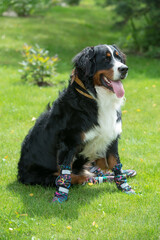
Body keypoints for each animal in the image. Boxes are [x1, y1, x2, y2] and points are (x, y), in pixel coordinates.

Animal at [17, 43, 135, 202]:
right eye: (106, 59)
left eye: (118, 57)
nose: (124, 69)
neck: (97, 99)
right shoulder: (68, 143)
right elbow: (65, 175)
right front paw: (60, 196)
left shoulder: (112, 137)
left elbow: (116, 164)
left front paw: (125, 188)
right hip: (42, 175)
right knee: (68, 177)